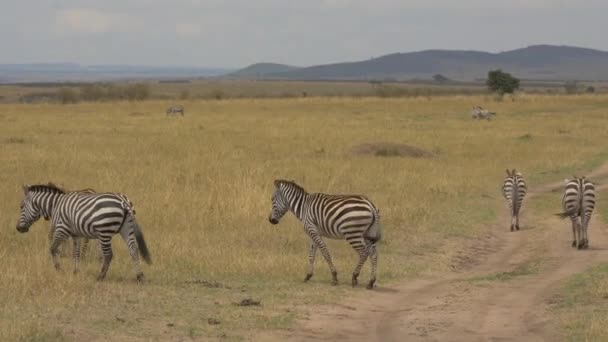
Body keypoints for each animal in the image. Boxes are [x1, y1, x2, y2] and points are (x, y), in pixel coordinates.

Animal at [16, 183, 152, 282]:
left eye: (21, 206)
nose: (18, 228)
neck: (55, 205)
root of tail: (123, 201)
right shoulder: (76, 234)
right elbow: (75, 253)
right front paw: (76, 271)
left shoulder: (61, 229)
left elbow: (53, 248)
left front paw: (59, 269)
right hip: (127, 228)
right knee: (133, 249)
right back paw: (139, 276)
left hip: (104, 232)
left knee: (108, 255)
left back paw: (100, 276)